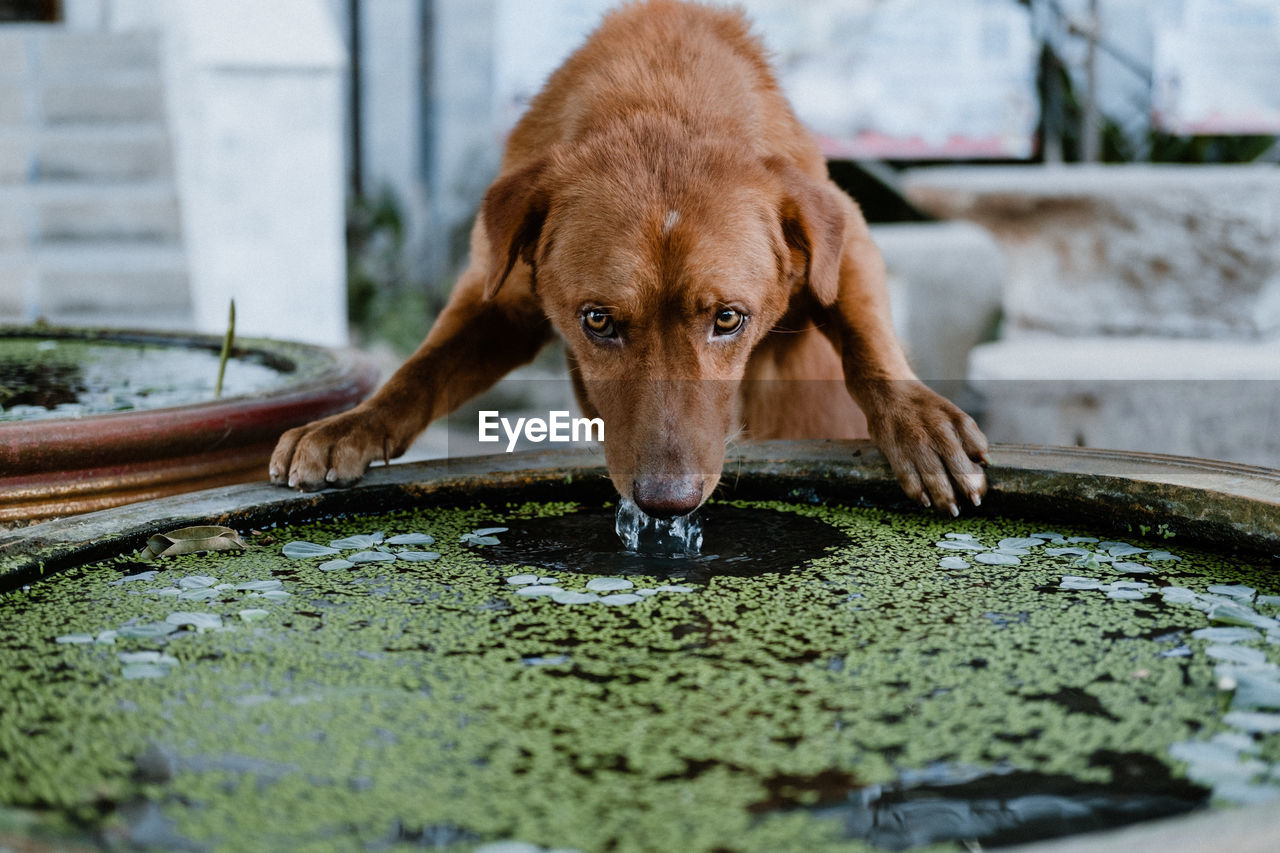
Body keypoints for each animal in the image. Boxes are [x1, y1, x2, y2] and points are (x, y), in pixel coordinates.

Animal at [270, 0, 988, 514]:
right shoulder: (499, 297)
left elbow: (869, 345)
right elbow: (420, 369)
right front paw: (353, 424)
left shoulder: (843, 237)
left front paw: (917, 421)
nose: (666, 504)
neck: (662, 101)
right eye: (597, 320)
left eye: (728, 319)